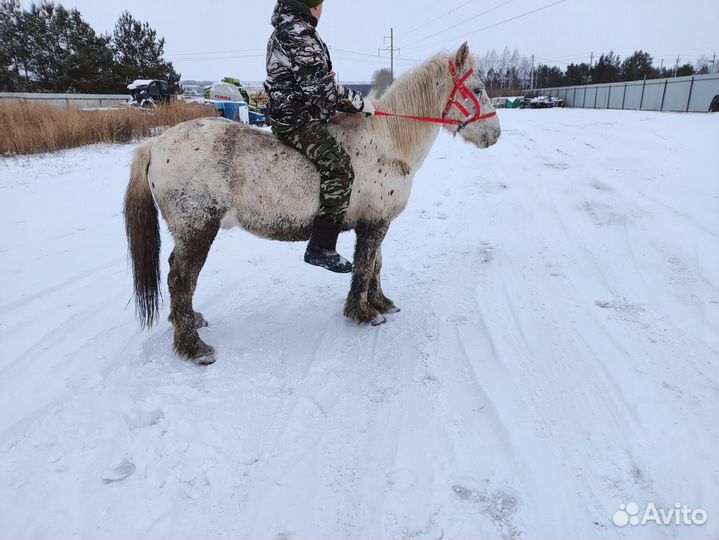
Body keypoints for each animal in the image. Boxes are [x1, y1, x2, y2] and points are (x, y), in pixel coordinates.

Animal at [123, 42, 501, 365]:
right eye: (477, 90)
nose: (495, 134)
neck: (389, 142)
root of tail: (155, 144)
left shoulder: (377, 220)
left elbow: (377, 264)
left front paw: (381, 303)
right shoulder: (374, 224)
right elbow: (365, 266)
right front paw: (363, 313)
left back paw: (190, 321)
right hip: (198, 229)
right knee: (181, 279)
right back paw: (194, 348)